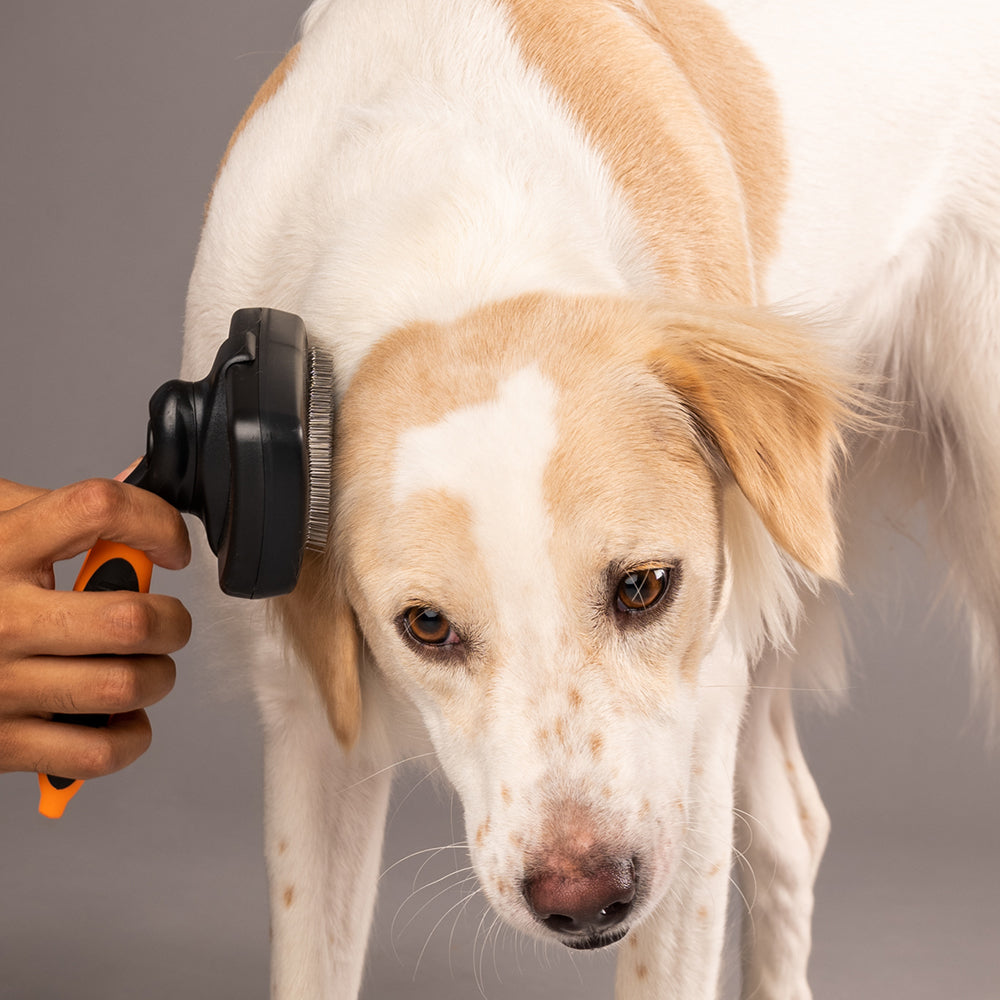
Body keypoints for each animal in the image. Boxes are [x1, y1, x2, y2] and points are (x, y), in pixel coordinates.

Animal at [184, 1, 1000, 1000]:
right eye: (425, 626)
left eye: (644, 586)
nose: (583, 897)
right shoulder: (309, 721)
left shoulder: (693, 740)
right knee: (793, 828)